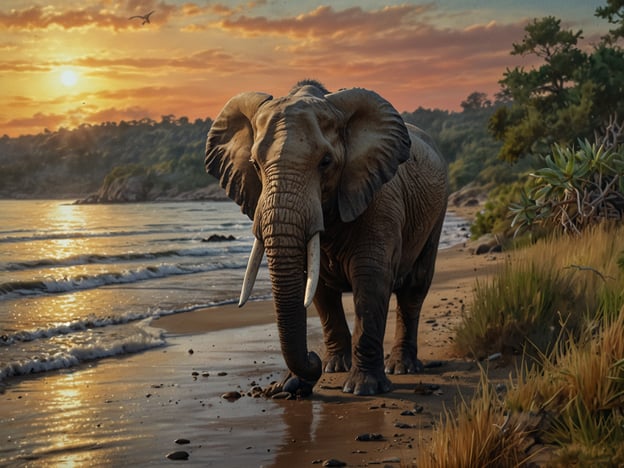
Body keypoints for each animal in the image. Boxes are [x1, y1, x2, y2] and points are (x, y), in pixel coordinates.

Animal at [205, 80, 448, 394]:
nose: (312, 359)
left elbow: (371, 279)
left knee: (415, 288)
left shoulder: (380, 200)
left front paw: (362, 388)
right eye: (255, 164)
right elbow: (315, 285)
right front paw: (327, 370)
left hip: (437, 212)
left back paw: (401, 368)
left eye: (326, 162)